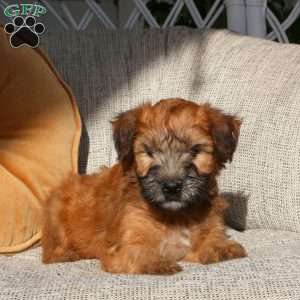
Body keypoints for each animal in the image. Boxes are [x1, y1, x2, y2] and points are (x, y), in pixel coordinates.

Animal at [42, 98, 248, 274]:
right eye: (149, 152)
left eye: (195, 150)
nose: (171, 187)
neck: (176, 215)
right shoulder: (126, 241)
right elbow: (138, 251)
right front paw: (154, 262)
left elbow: (210, 238)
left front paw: (221, 247)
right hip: (56, 212)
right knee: (50, 251)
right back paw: (67, 254)